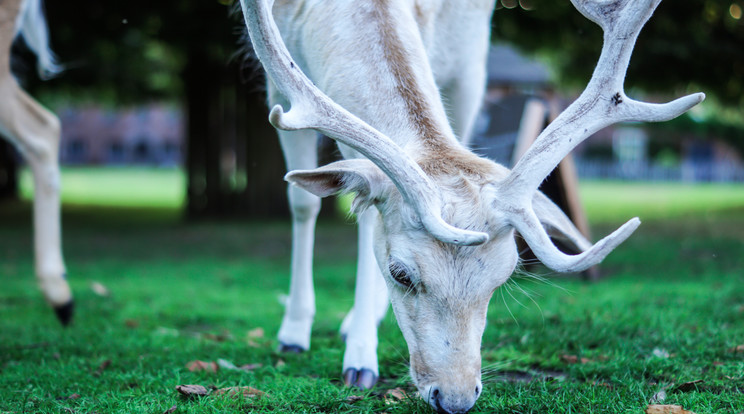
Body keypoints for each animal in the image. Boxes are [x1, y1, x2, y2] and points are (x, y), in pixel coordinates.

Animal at [240, 0, 704, 410]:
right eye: (400, 274)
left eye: (503, 277)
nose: (456, 399)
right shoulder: (276, 87)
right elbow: (305, 205)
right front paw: (306, 338)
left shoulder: (460, 56)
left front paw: (359, 349)